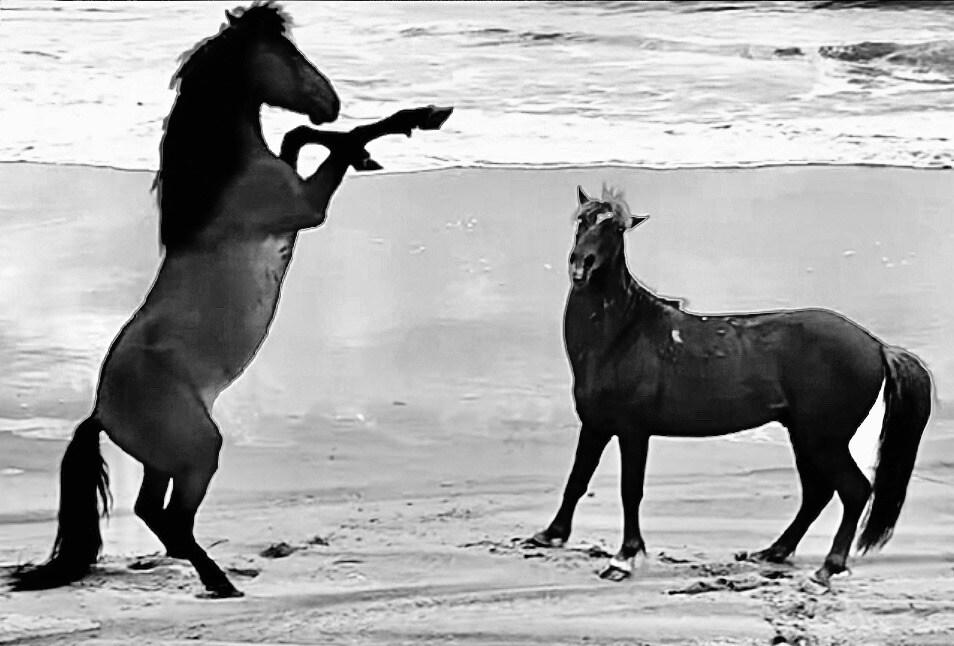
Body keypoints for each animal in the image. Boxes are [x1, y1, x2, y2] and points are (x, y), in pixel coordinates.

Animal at [10, 2, 451, 598]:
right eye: (286, 53)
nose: (331, 101)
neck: (228, 181)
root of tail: (100, 411)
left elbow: (298, 135)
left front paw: (363, 152)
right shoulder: (309, 206)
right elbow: (332, 139)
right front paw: (417, 118)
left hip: (165, 460)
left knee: (152, 512)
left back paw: (212, 575)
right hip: (200, 451)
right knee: (173, 519)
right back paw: (221, 582)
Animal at [529, 184, 933, 585]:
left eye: (616, 229)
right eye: (583, 220)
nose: (580, 265)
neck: (623, 336)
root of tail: (877, 346)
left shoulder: (632, 431)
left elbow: (631, 491)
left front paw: (624, 558)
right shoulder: (595, 424)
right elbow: (578, 478)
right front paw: (550, 535)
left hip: (823, 438)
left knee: (853, 491)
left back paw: (828, 567)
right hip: (803, 435)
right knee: (816, 494)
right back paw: (774, 552)